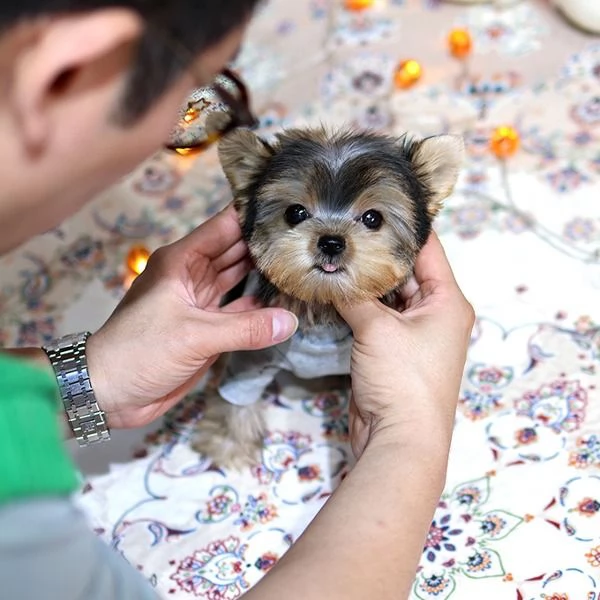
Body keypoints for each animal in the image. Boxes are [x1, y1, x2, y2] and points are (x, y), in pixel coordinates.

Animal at [192, 125, 464, 468]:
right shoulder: (253, 357)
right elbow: (237, 395)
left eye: (372, 218)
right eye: (295, 212)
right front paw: (228, 442)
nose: (332, 242)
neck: (321, 304)